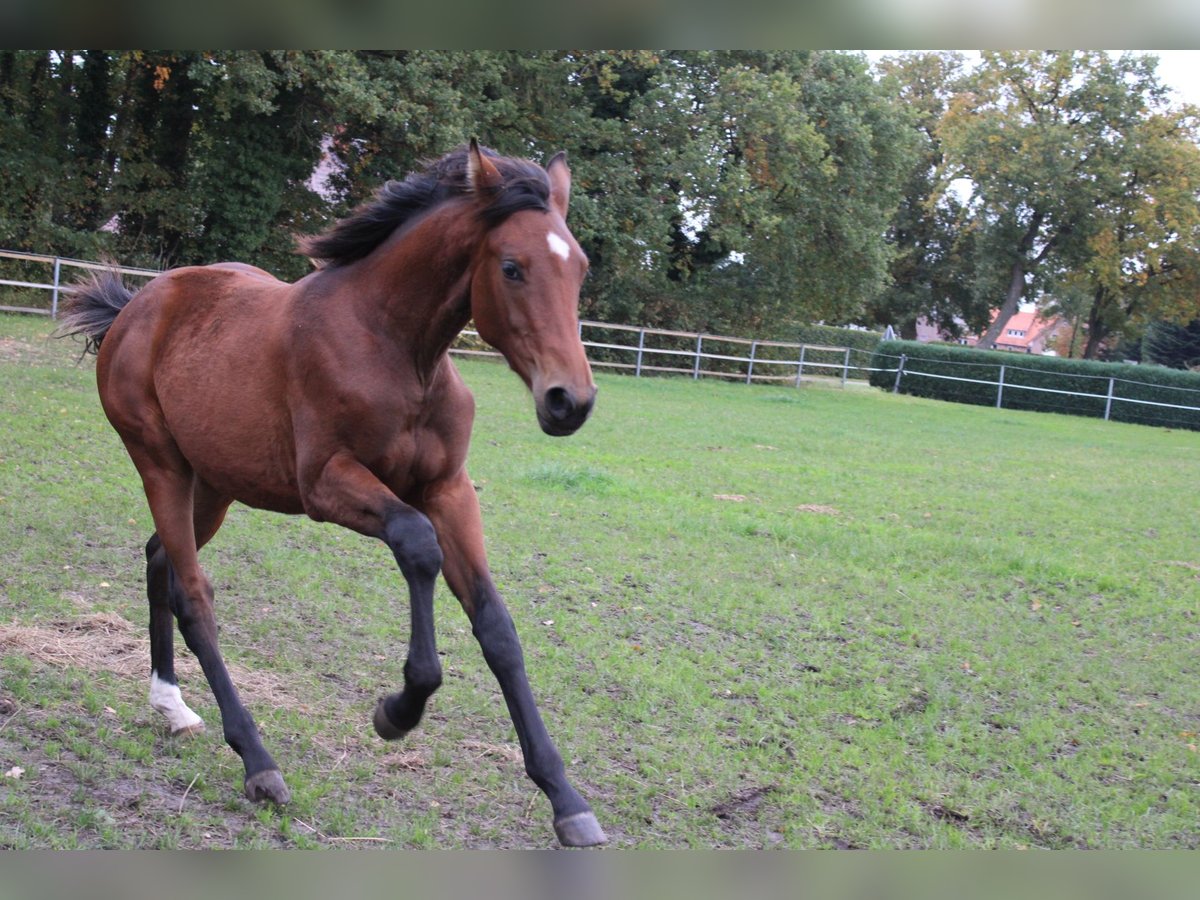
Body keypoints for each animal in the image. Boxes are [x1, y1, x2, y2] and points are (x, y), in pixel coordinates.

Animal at [58, 140, 606, 848]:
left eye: (580, 269)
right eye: (512, 268)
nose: (570, 401)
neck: (396, 348)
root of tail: (135, 306)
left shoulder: (449, 490)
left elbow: (497, 627)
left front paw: (566, 799)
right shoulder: (327, 484)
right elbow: (417, 545)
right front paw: (398, 709)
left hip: (213, 484)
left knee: (160, 562)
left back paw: (171, 705)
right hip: (161, 466)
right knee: (195, 597)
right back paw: (258, 763)